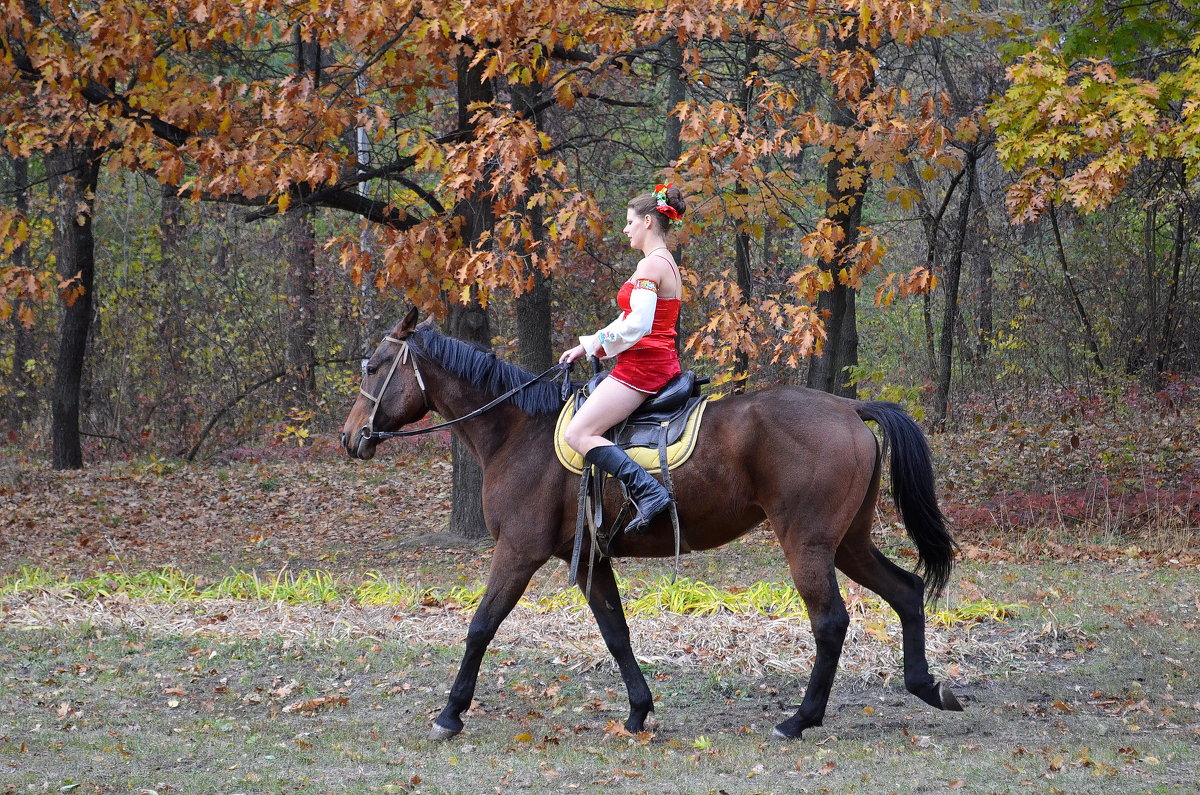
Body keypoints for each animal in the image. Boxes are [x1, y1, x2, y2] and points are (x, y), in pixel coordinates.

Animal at [343, 309, 960, 739]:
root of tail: (847, 407)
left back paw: (799, 719)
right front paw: (639, 711)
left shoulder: (518, 552)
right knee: (907, 591)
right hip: (848, 543)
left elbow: (480, 626)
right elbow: (616, 632)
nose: (352, 438)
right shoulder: (590, 559)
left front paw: (450, 713)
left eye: (373, 367)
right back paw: (927, 688)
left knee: (830, 622)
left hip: (807, 544)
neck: (519, 431)